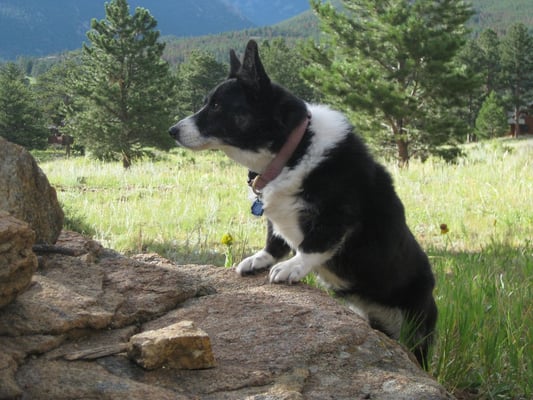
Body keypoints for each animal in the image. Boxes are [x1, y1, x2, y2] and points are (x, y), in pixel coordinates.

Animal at [170, 39, 436, 366]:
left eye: (218, 106)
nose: (172, 131)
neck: (293, 150)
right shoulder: (275, 219)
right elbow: (274, 241)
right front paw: (260, 259)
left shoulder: (338, 215)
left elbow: (314, 244)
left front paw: (292, 267)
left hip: (416, 326)